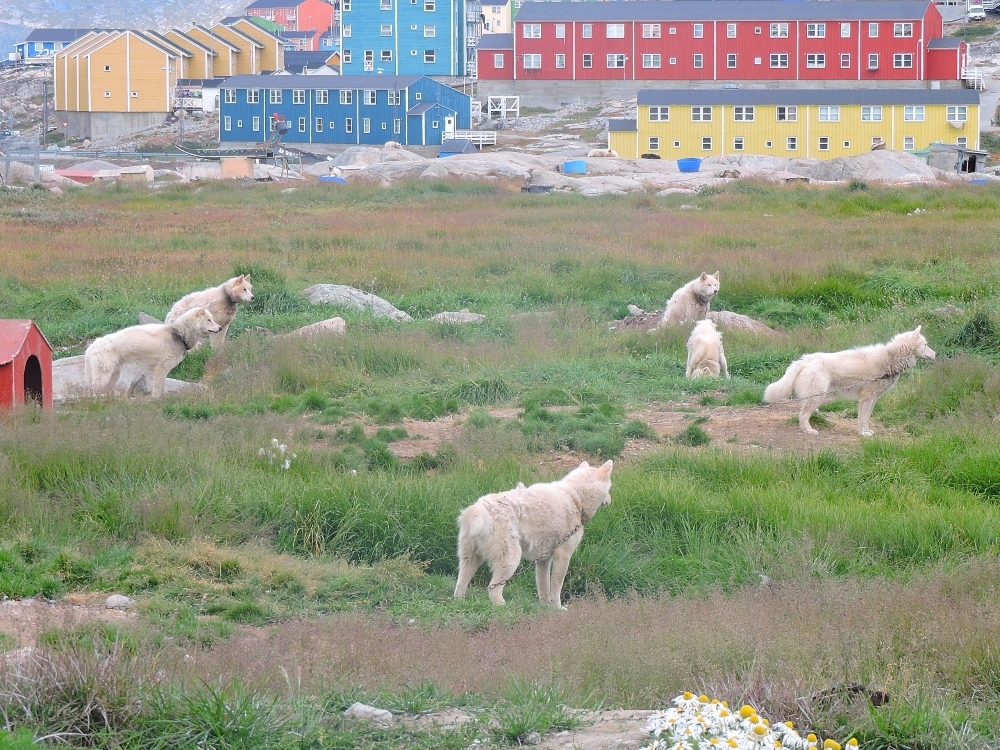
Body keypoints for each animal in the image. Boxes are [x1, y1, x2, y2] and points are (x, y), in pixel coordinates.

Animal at [85, 306, 222, 400]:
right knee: (93, 392)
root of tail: (91, 347)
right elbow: (156, 390)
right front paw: (156, 400)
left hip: (113, 376)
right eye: (209, 320)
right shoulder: (161, 369)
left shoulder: (164, 371)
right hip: (103, 377)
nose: (220, 328)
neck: (179, 334)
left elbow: (163, 388)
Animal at [452, 458, 608, 612]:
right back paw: (504, 606)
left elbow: (543, 587)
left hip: (470, 560)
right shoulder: (563, 556)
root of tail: (477, 510)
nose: (610, 499)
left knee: (460, 587)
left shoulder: (544, 559)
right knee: (492, 589)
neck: (574, 498)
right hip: (510, 560)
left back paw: (461, 602)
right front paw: (557, 608)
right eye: (609, 488)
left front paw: (546, 607)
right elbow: (556, 587)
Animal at [764, 326, 936, 438]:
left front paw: (867, 431)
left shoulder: (872, 400)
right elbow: (862, 419)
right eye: (926, 345)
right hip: (818, 396)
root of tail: (806, 359)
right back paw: (809, 431)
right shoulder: (866, 399)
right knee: (802, 415)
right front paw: (863, 434)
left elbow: (866, 419)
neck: (891, 358)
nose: (936, 354)